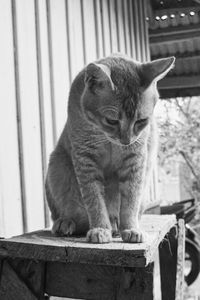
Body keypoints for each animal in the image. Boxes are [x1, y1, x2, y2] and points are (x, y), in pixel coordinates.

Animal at [45, 54, 175, 244]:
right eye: (112, 120)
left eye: (141, 121)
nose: (126, 141)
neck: (109, 141)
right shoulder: (85, 158)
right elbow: (94, 200)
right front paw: (100, 228)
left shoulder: (135, 159)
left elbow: (130, 201)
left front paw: (130, 228)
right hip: (57, 166)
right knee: (72, 214)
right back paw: (67, 222)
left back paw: (115, 224)